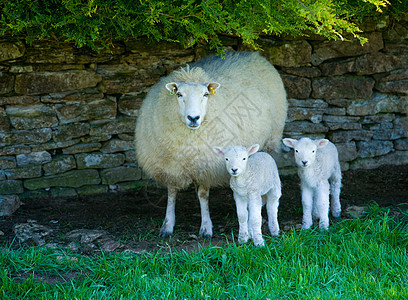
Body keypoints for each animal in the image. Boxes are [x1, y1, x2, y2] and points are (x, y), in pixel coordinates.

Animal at [135, 52, 286, 239]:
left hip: (270, 141)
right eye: (179, 94)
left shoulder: (206, 165)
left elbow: (202, 195)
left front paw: (206, 227)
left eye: (206, 94)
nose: (193, 118)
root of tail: (252, 54)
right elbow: (171, 193)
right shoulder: (171, 165)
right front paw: (167, 225)